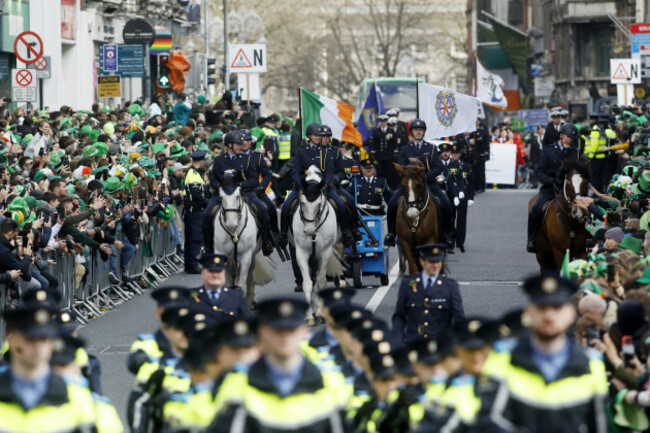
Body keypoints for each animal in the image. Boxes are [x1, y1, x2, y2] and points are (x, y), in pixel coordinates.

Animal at [290, 166, 342, 324]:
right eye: (302, 203)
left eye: (319, 204)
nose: (309, 231)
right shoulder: (301, 253)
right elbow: (307, 283)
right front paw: (309, 316)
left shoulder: (325, 253)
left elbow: (321, 281)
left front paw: (319, 313)